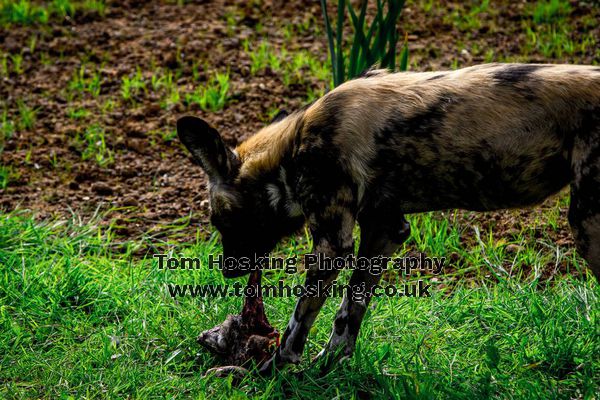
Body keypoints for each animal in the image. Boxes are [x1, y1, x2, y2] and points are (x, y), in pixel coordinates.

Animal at [178, 64, 600, 374]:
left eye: (220, 222)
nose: (227, 271)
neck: (292, 148)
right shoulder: (386, 230)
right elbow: (348, 313)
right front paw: (327, 369)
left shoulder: (332, 246)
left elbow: (298, 324)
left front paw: (273, 372)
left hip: (586, 226)